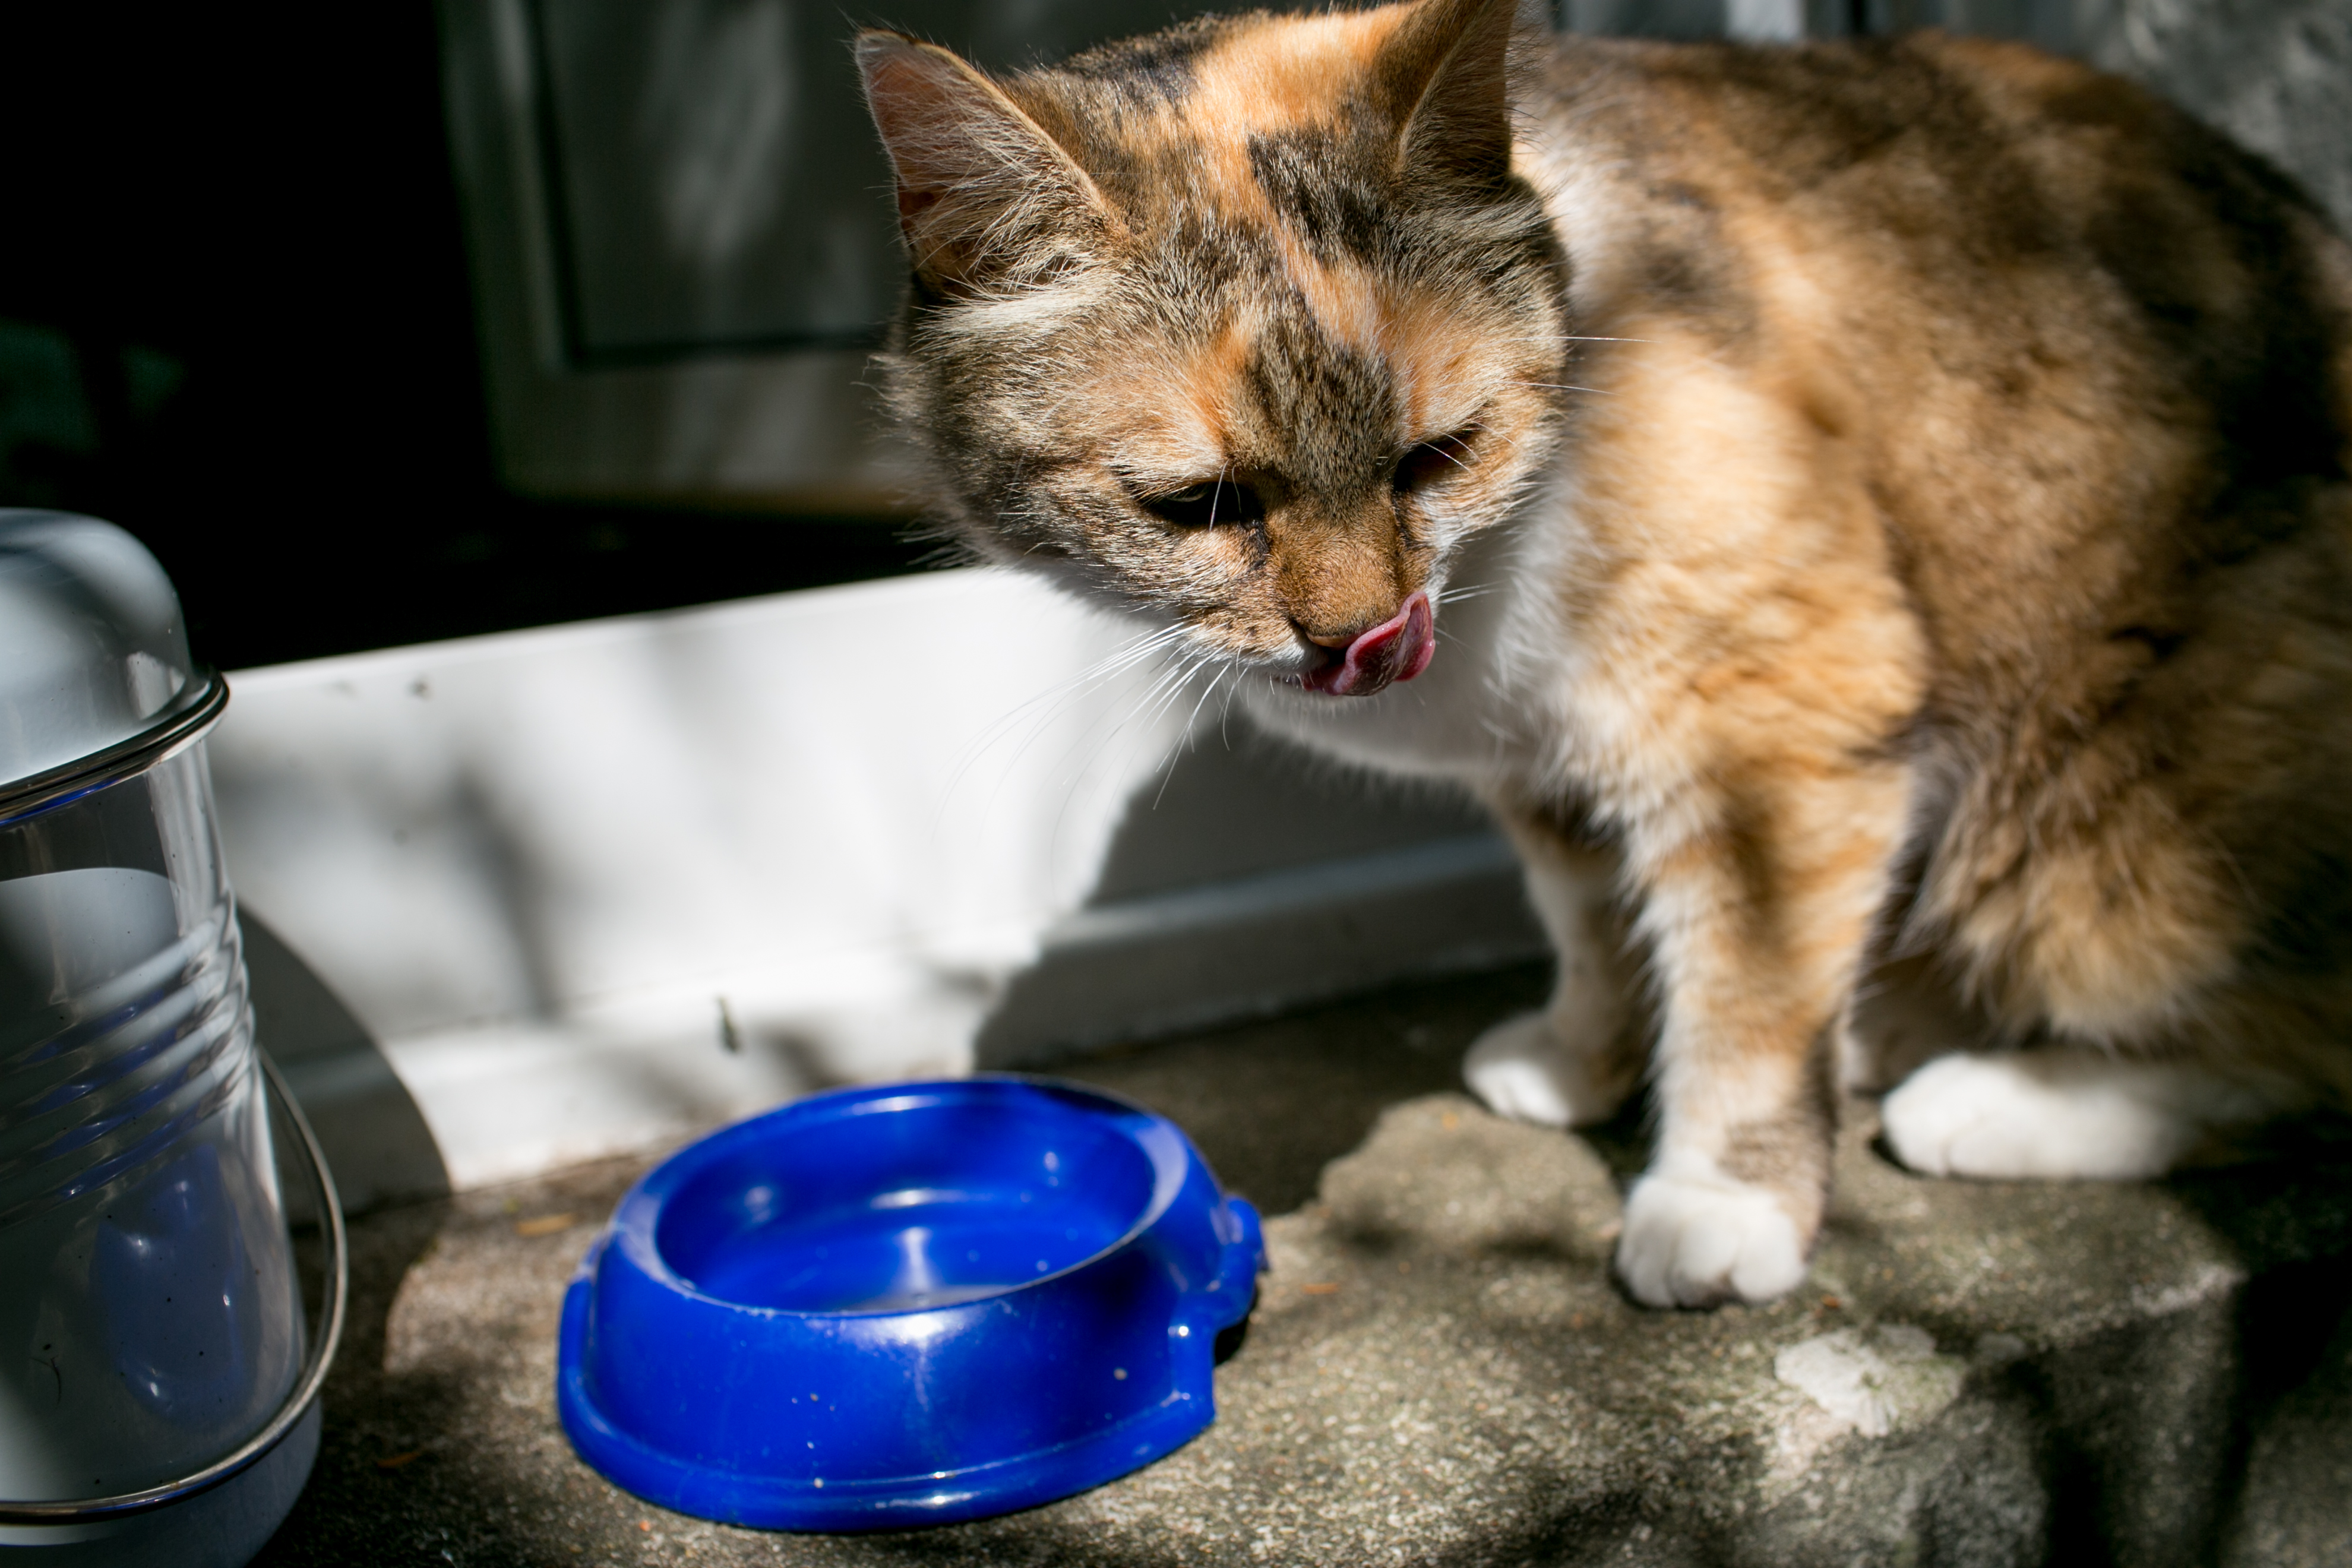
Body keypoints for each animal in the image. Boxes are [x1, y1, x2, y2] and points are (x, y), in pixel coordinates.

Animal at [861, 0, 2352, 1307]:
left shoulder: (1777, 718)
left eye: (1435, 455)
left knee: (2293, 1049)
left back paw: (1989, 1099)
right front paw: (1589, 1060)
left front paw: (1720, 1199)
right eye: (1198, 505)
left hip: (2108, 836)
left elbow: (1746, 992)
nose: (1360, 637)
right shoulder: (1549, 761)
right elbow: (1589, 916)